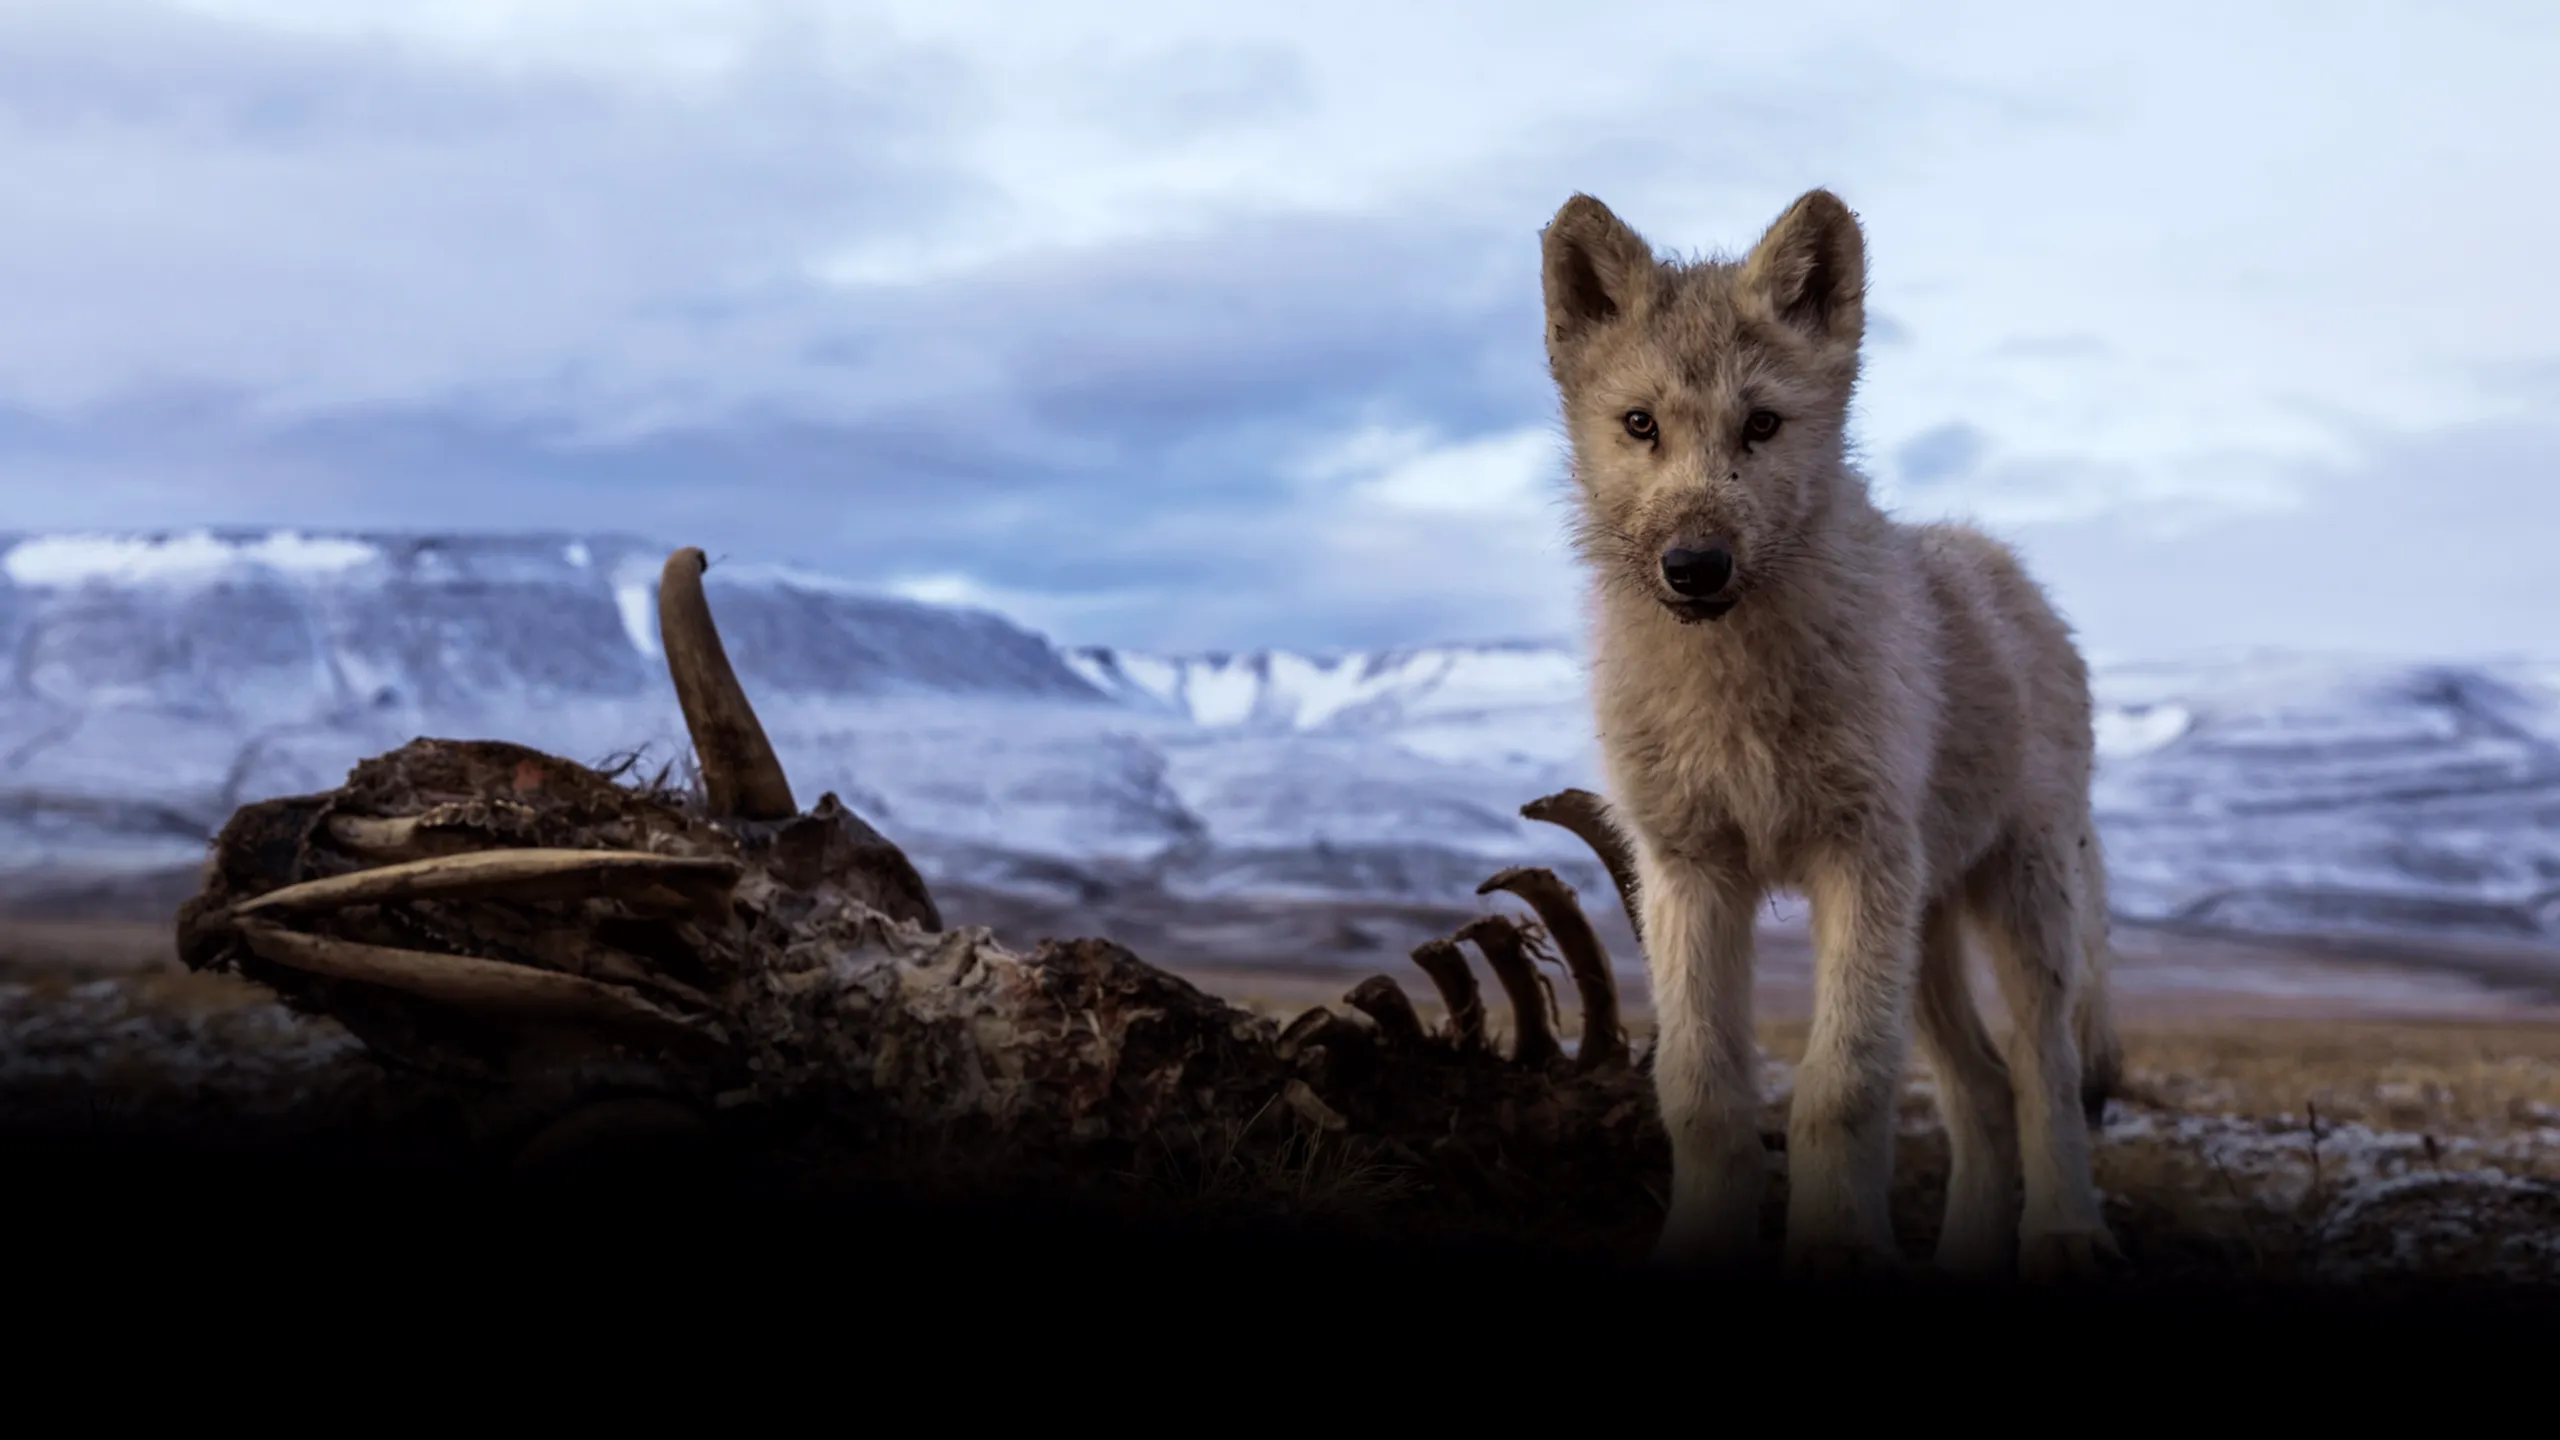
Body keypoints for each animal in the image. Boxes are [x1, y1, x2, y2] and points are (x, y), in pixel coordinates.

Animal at [1538, 188, 2125, 1283]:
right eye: (1640, 425)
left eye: (1762, 425)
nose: (1695, 565)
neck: (1734, 695)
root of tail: (2009, 569)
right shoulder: (1688, 874)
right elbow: (1703, 1094)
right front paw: (1701, 1249)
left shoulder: (1857, 863)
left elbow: (1838, 1086)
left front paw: (1841, 1251)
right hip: (1925, 935)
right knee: (1981, 1089)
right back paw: (1965, 1258)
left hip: (2017, 903)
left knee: (2047, 1071)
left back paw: (2065, 1235)